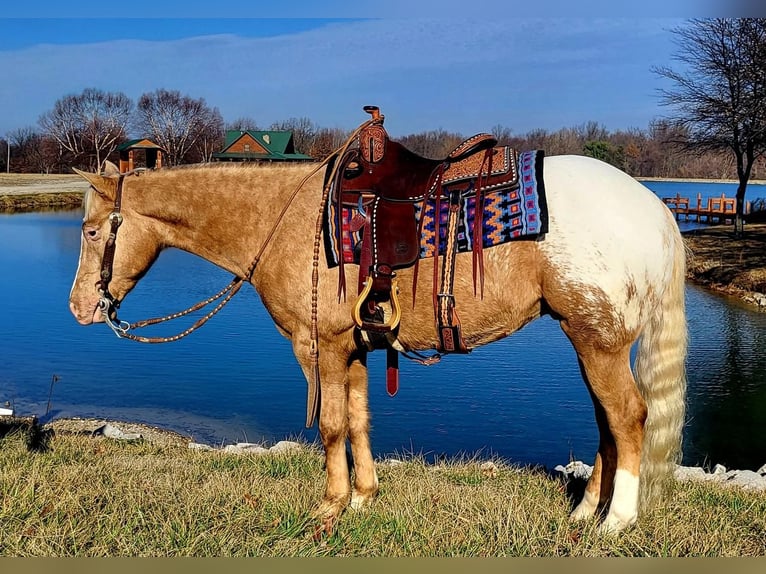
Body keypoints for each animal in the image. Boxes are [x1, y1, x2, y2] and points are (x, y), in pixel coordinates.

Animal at [69, 146, 688, 536]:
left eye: (93, 230)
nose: (79, 308)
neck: (285, 220)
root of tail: (656, 208)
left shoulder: (318, 347)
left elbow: (331, 426)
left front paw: (329, 508)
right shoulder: (356, 347)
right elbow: (360, 419)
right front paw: (364, 499)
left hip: (598, 340)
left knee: (627, 416)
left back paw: (616, 521)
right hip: (591, 340)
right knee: (607, 422)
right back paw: (585, 512)